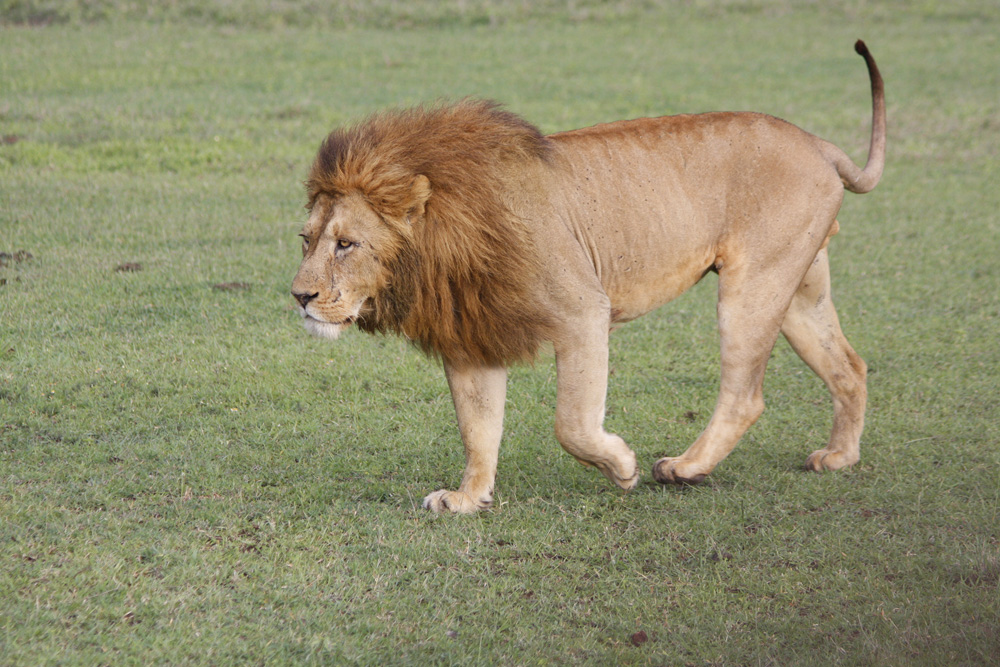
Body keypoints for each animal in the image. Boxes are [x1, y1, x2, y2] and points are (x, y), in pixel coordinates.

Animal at [292, 39, 888, 516]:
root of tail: (819, 144)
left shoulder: (582, 312)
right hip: (799, 290)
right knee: (849, 365)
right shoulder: (472, 334)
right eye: (306, 239)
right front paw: (467, 498)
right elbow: (477, 428)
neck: (446, 244)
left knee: (745, 395)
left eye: (346, 244)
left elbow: (572, 423)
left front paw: (621, 466)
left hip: (752, 286)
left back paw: (684, 468)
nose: (299, 296)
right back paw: (840, 456)